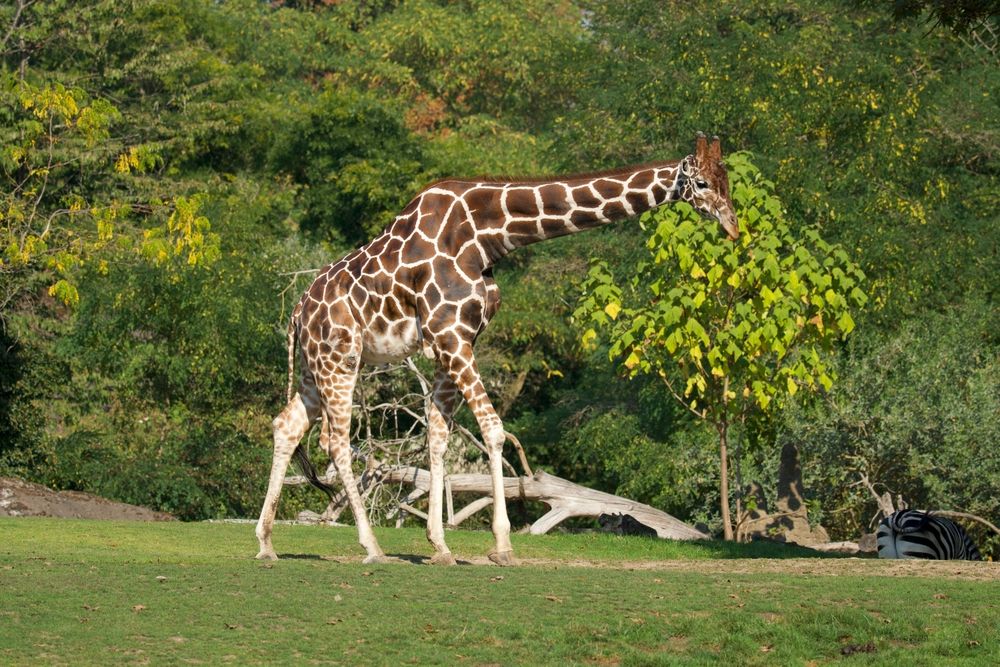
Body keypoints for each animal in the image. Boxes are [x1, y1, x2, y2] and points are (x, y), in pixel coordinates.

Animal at [255, 133, 739, 565]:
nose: (733, 227)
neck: (488, 235)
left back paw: (266, 543)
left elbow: (438, 436)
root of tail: (298, 310)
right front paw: (502, 545)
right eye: (701, 183)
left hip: (314, 366)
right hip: (340, 358)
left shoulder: (457, 339)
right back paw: (371, 547)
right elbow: (493, 430)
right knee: (336, 440)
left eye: (727, 179)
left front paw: (440, 547)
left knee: (287, 424)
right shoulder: (449, 334)